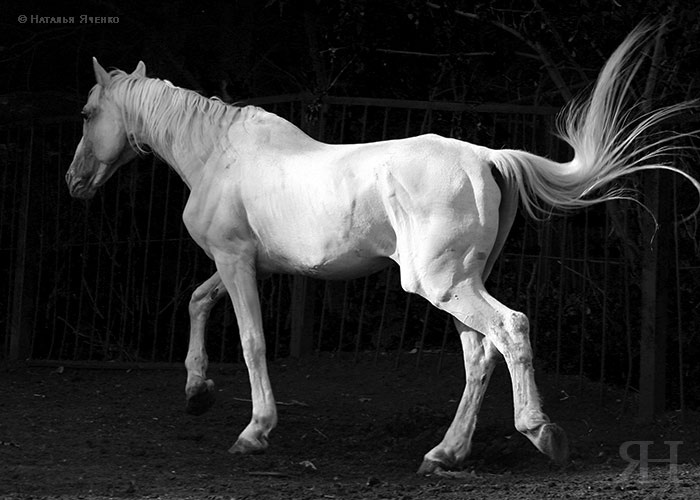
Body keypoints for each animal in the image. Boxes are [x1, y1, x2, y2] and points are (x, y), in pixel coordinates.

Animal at [66, 24, 699, 474]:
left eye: (88, 113)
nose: (74, 183)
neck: (218, 156)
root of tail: (487, 157)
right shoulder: (249, 263)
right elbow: (198, 302)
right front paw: (197, 393)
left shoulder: (236, 260)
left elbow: (251, 341)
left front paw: (254, 431)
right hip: (460, 286)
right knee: (481, 354)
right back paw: (444, 455)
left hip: (441, 284)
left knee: (510, 329)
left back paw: (541, 434)